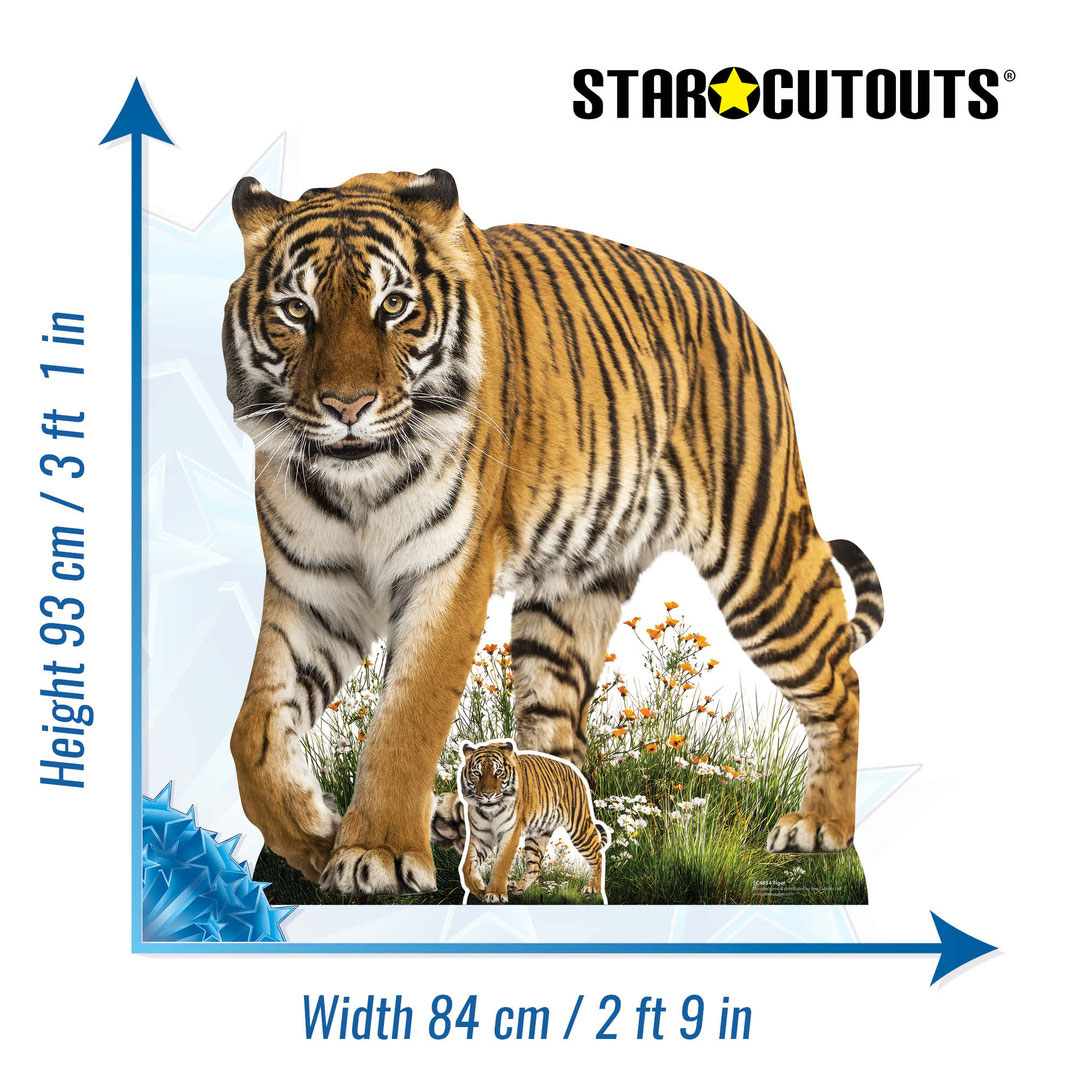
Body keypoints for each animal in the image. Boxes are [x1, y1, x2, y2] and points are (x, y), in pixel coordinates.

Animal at [457, 740, 609, 903]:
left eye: (498, 772)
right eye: (476, 773)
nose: (488, 795)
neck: (490, 811)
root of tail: (575, 771)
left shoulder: (510, 832)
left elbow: (501, 865)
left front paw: (495, 893)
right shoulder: (480, 834)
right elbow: (466, 866)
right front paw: (480, 889)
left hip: (579, 828)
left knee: (597, 854)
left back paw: (593, 887)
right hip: (538, 835)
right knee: (535, 867)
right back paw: (517, 887)